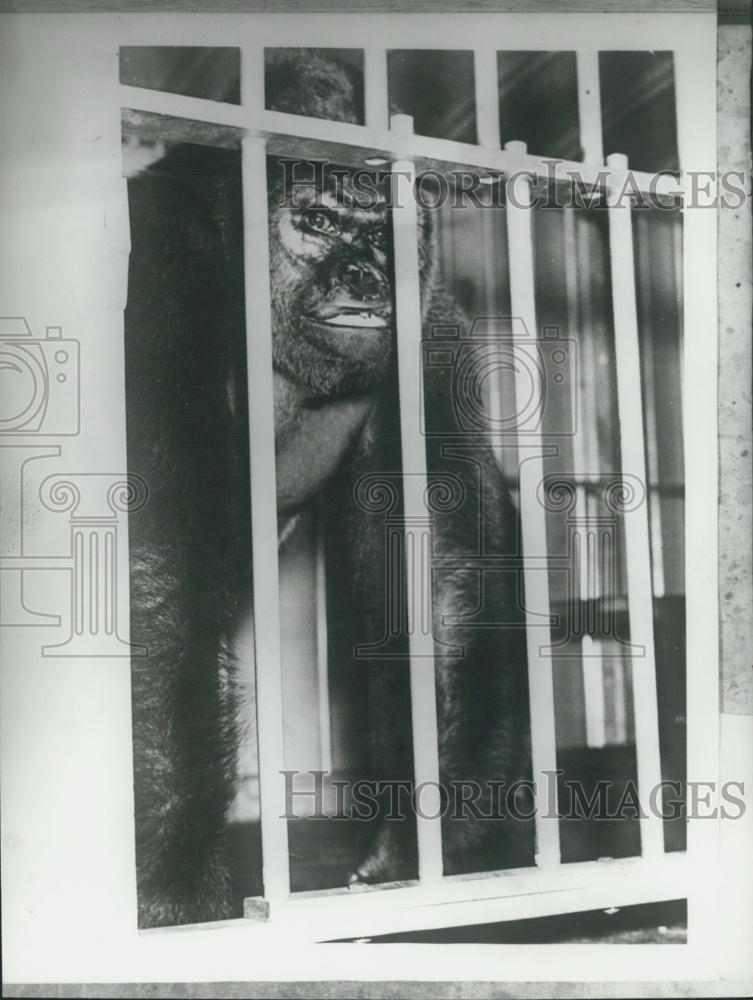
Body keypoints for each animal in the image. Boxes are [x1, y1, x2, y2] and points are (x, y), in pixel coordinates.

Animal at [125, 48, 528, 928]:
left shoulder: (429, 325)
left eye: (381, 230)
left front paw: (438, 847)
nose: (365, 272)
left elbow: (439, 577)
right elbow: (156, 568)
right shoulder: (159, 272)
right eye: (314, 220)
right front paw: (171, 885)